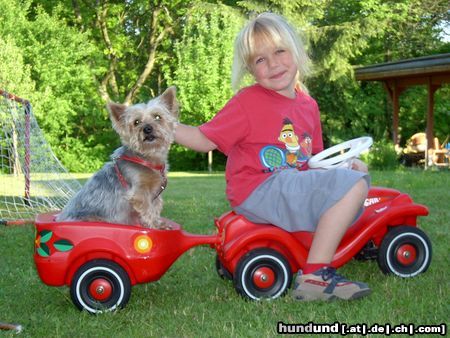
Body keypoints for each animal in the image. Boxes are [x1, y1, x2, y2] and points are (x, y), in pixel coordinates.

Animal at [54, 86, 178, 228]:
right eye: (136, 122)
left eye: (157, 117)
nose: (147, 128)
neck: (145, 158)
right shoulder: (140, 192)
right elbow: (148, 209)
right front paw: (156, 225)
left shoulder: (155, 195)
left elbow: (156, 207)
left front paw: (157, 223)